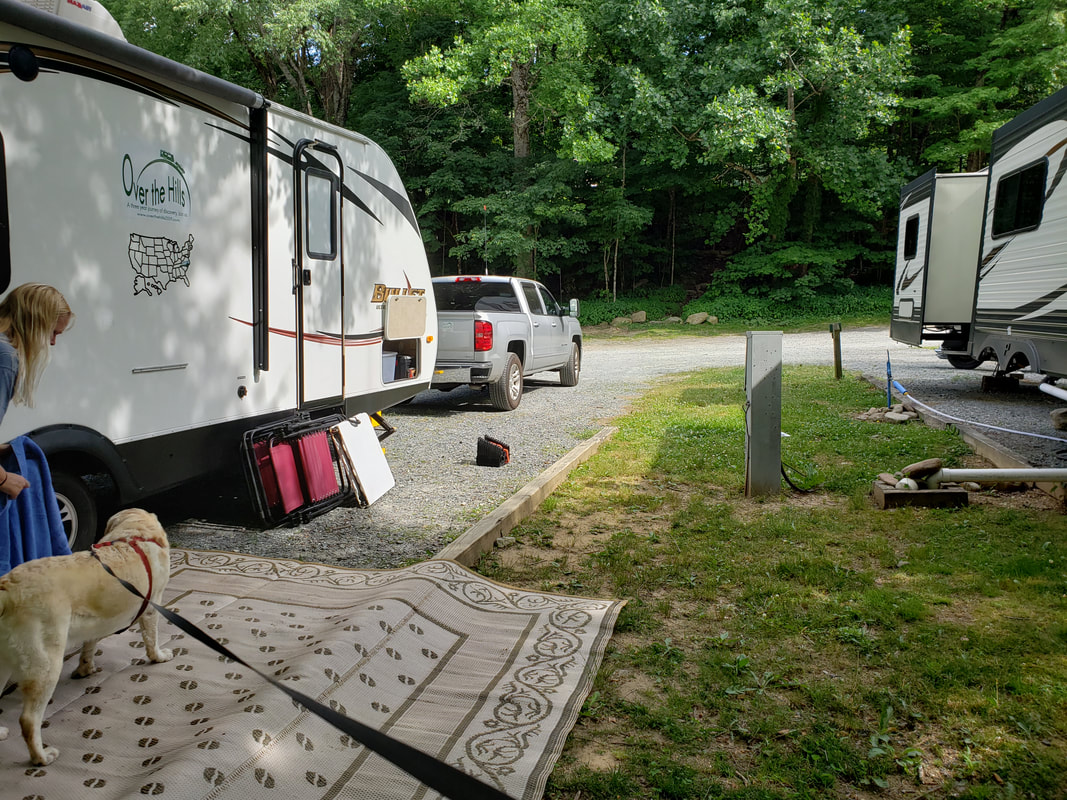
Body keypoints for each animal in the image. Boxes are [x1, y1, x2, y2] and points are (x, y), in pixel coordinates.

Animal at [0, 509, 170, 768]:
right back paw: (41, 757)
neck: (133, 536)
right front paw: (159, 656)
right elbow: (151, 637)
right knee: (29, 720)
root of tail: (8, 589)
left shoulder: (95, 620)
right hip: (46, 664)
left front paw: (85, 669)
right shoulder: (151, 608)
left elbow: (89, 644)